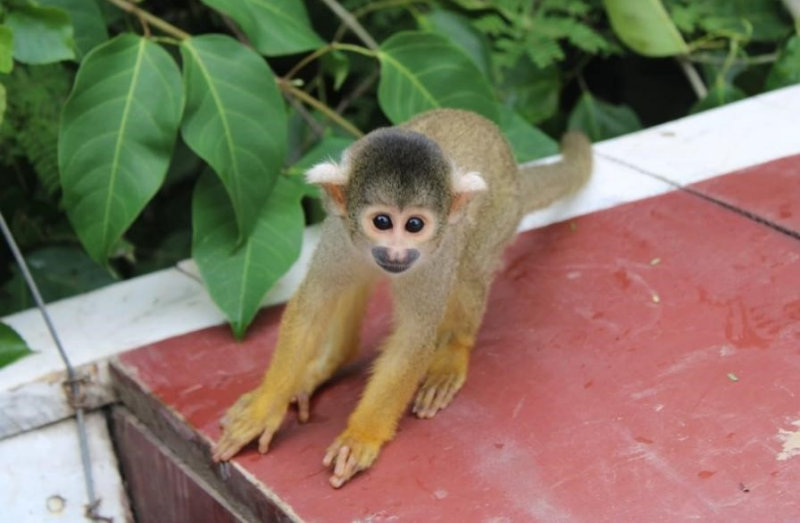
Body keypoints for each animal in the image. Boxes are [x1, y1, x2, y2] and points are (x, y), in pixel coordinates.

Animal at [212, 108, 592, 490]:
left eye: (414, 225)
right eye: (382, 221)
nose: (396, 253)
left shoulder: (438, 255)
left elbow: (413, 337)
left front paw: (361, 437)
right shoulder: (339, 233)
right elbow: (312, 305)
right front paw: (264, 409)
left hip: (499, 215)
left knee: (470, 270)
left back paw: (453, 353)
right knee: (354, 282)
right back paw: (328, 363)